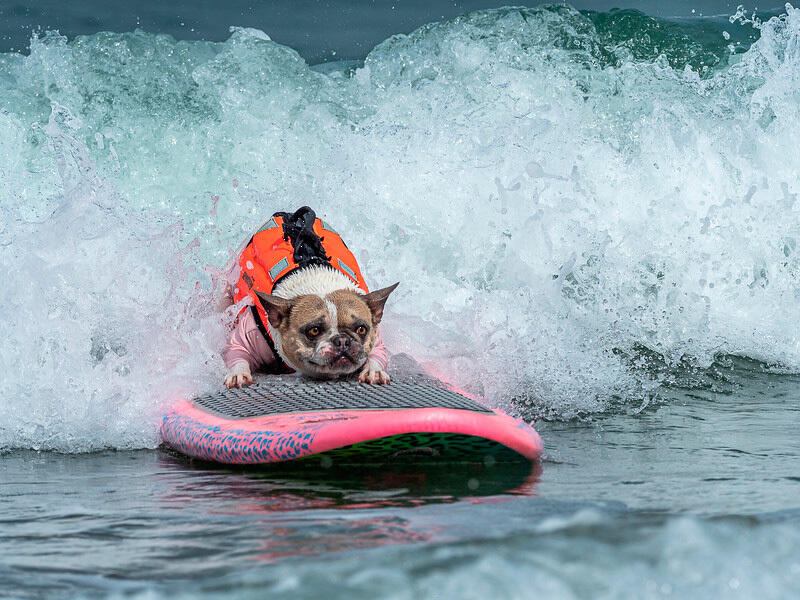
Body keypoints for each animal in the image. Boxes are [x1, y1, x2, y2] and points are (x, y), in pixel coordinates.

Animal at [222, 209, 396, 390]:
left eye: (362, 329)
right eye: (314, 330)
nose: (342, 340)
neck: (320, 282)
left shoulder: (376, 335)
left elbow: (377, 352)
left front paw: (374, 371)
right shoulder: (249, 334)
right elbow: (236, 350)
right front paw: (238, 373)